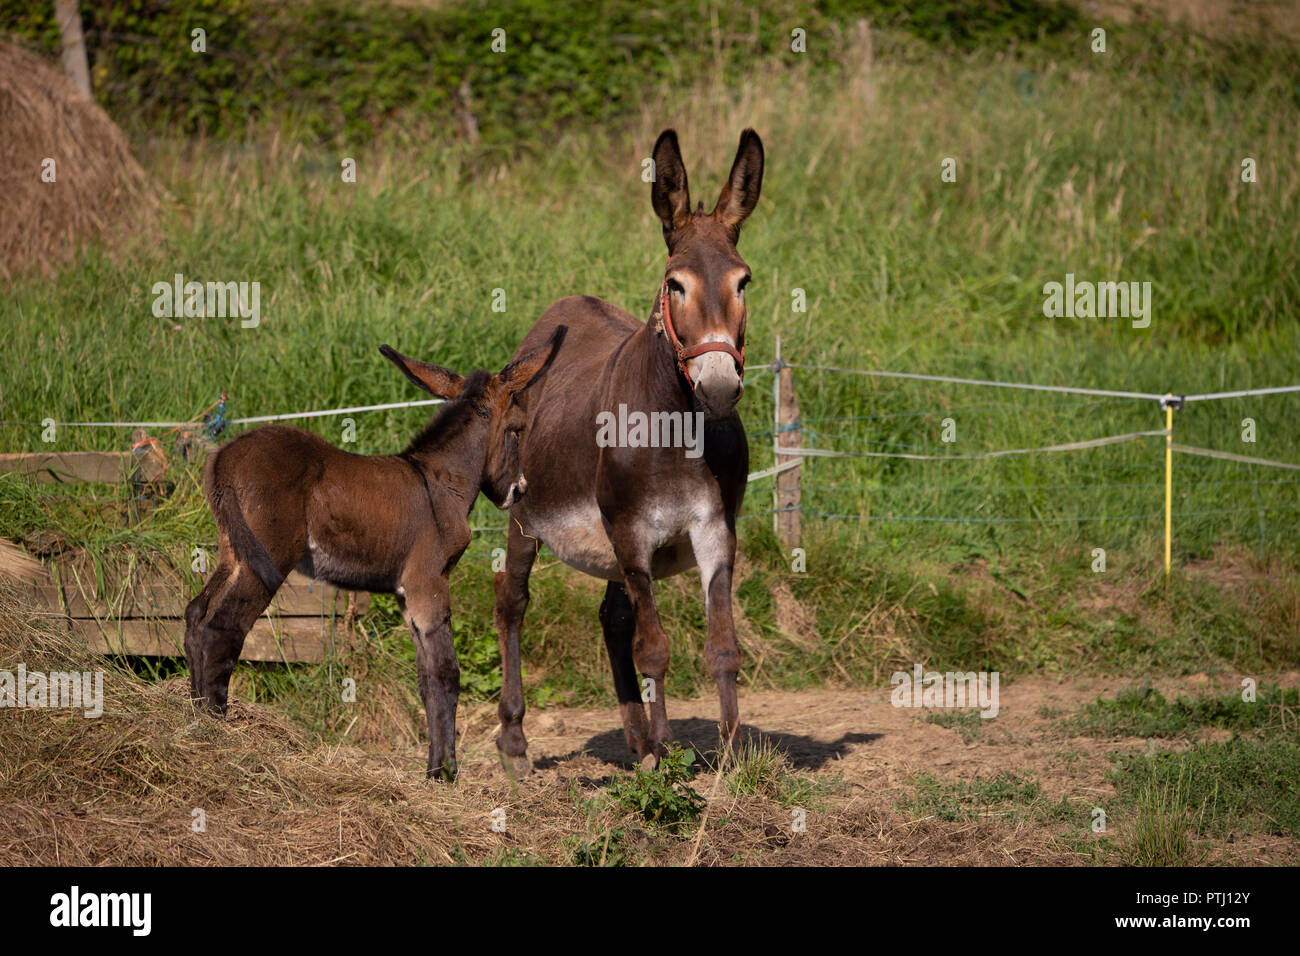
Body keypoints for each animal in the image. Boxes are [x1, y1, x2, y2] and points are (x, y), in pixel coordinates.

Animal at [183, 329, 564, 780]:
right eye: (518, 430)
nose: (520, 490)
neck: (440, 481)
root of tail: (227, 454)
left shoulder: (406, 594)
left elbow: (425, 678)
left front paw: (435, 768)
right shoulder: (429, 581)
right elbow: (446, 673)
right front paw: (445, 773)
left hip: (234, 551)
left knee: (196, 613)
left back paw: (192, 718)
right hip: (268, 557)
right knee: (222, 627)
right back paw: (217, 732)